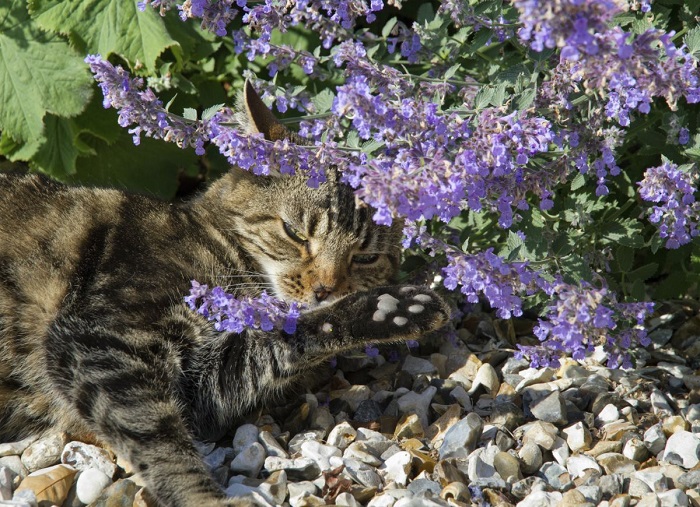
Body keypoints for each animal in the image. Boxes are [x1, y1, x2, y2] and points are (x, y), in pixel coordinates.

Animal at [0, 81, 448, 506]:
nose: (325, 288)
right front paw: (203, 498)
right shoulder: (101, 338)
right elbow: (158, 437)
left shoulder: (206, 385)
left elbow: (281, 342)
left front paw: (394, 308)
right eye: (295, 233)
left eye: (366, 257)